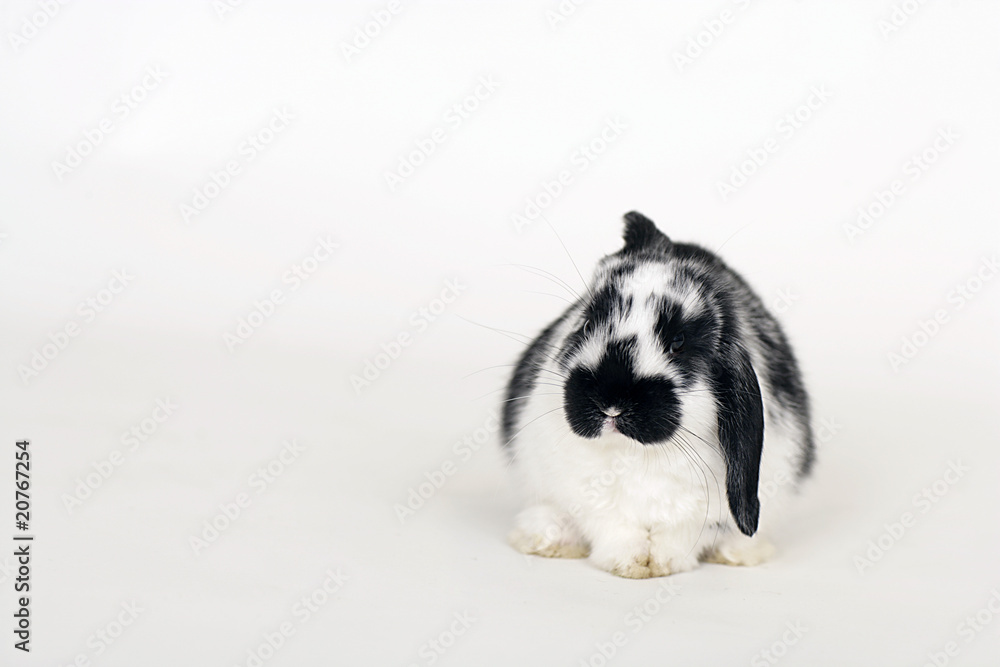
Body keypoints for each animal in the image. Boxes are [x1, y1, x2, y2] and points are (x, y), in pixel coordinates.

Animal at [501, 211, 814, 578]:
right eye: (586, 323)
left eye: (679, 342)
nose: (611, 403)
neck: (635, 453)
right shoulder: (587, 495)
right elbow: (613, 528)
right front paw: (631, 564)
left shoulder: (702, 512)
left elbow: (681, 536)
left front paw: (662, 564)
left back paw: (740, 554)